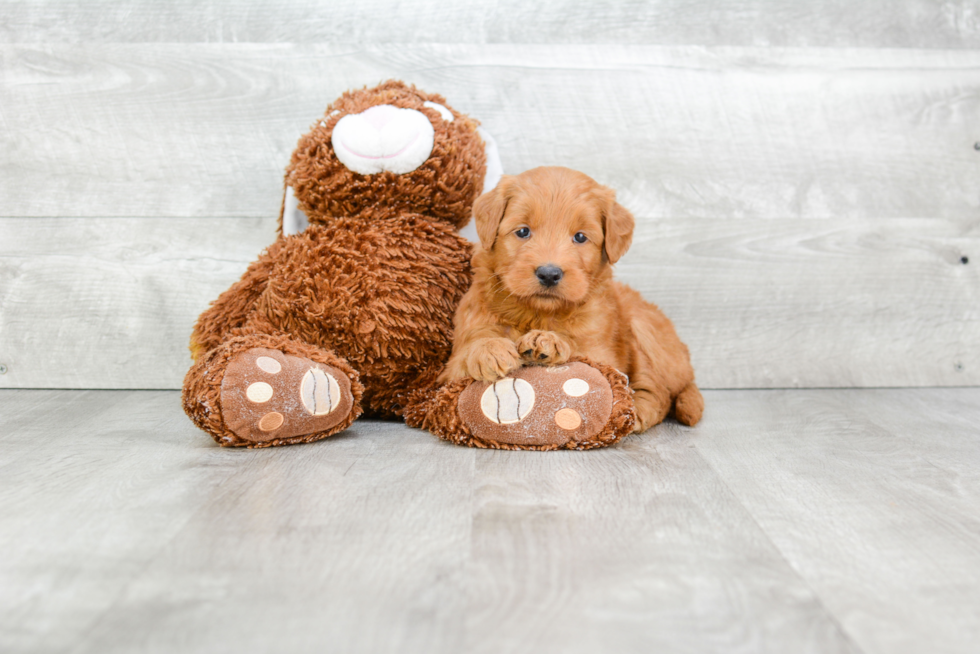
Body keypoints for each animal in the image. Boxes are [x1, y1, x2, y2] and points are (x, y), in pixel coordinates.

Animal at [438, 167, 704, 434]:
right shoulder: (451, 364)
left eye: (580, 237)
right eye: (523, 231)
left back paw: (637, 411)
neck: (538, 313)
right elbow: (471, 347)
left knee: (660, 391)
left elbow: (578, 348)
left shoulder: (602, 352)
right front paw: (489, 349)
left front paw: (547, 341)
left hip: (645, 331)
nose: (549, 274)